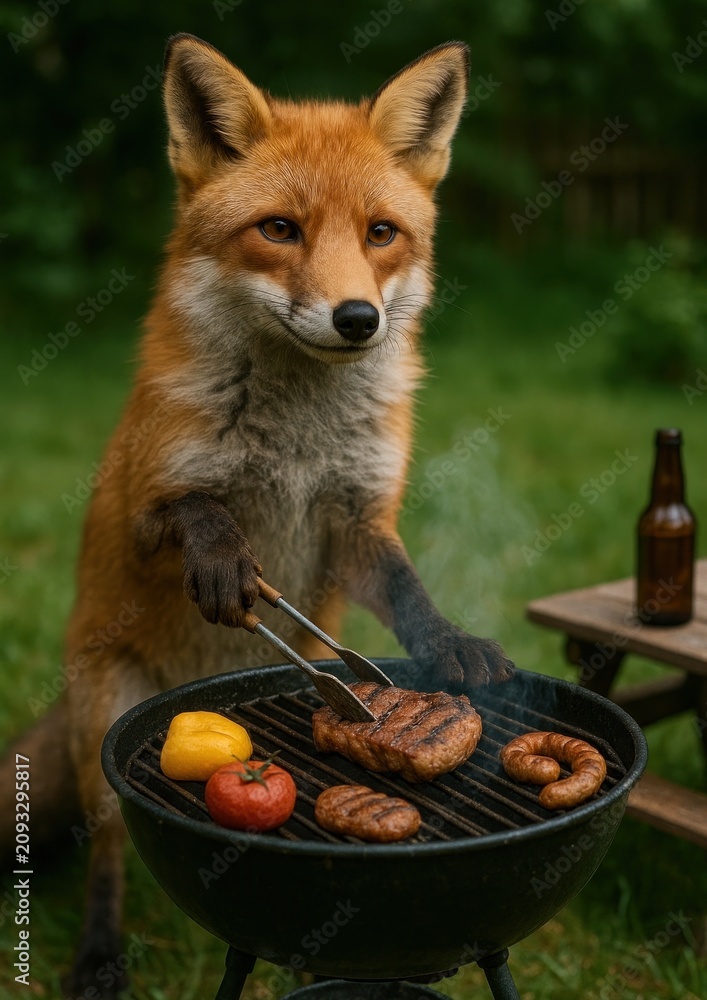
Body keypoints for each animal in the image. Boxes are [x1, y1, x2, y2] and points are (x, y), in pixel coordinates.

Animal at [0, 34, 513, 997]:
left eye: (380, 233)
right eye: (278, 229)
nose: (357, 319)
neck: (296, 441)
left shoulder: (355, 519)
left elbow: (406, 587)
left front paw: (451, 644)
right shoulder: (145, 499)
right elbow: (199, 513)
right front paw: (225, 563)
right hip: (106, 724)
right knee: (108, 853)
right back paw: (99, 956)